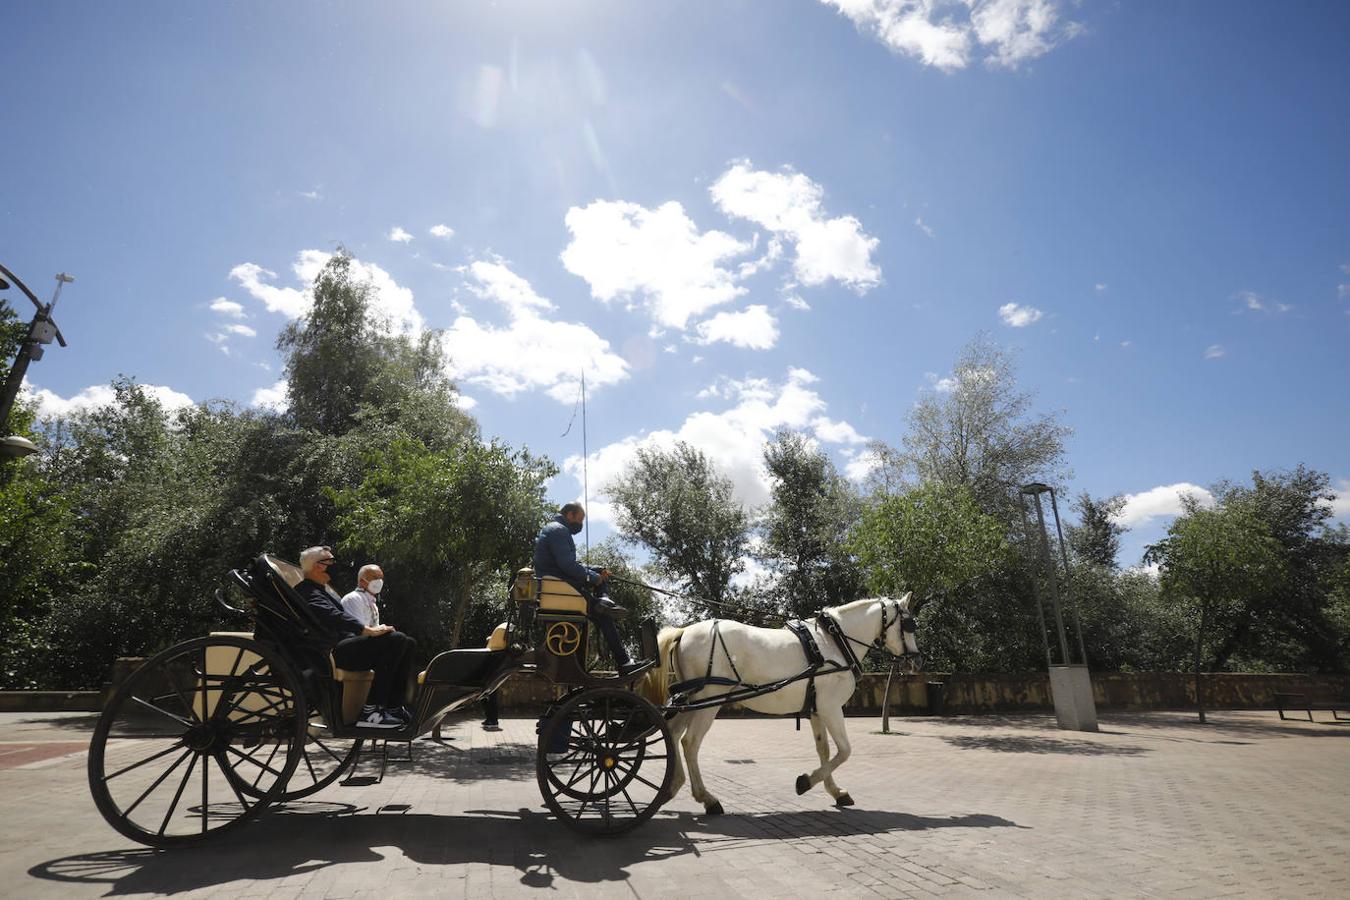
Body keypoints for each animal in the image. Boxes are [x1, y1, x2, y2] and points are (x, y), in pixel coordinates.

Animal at [639, 593, 918, 814]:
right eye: (909, 624)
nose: (916, 659)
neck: (835, 642)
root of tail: (684, 631)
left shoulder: (816, 710)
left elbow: (825, 751)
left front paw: (835, 791)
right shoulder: (830, 707)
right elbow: (844, 751)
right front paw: (806, 782)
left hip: (692, 699)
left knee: (673, 734)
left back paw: (672, 786)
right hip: (709, 701)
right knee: (690, 742)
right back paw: (707, 799)